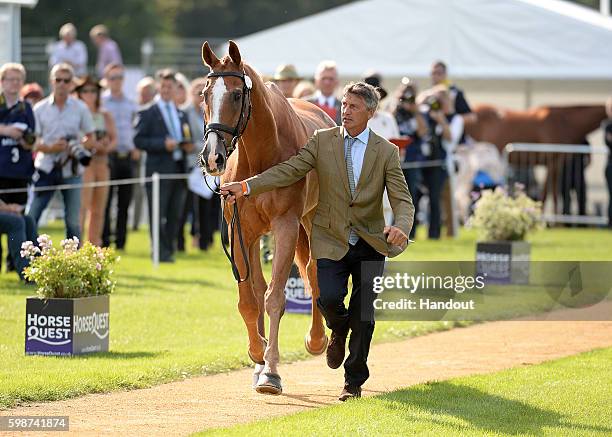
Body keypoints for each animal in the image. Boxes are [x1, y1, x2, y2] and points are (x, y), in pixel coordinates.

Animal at [198, 41, 334, 396]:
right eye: (205, 93)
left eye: (236, 95)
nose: (212, 157)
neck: (260, 159)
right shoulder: (240, 231)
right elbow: (250, 299)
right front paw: (257, 353)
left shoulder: (286, 226)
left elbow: (275, 298)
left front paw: (271, 371)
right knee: (262, 286)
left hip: (311, 221)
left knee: (312, 270)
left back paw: (317, 340)